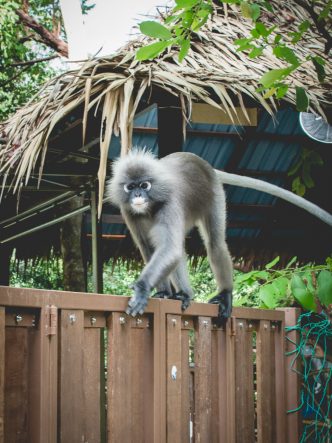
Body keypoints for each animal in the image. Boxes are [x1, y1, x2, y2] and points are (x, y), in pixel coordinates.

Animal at [107, 148, 332, 322]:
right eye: (131, 186)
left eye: (144, 185)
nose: (138, 195)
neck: (151, 207)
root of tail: (206, 165)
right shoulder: (128, 212)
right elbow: (149, 248)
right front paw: (162, 293)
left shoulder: (170, 203)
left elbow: (170, 249)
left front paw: (142, 288)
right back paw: (182, 294)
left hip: (214, 194)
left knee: (213, 244)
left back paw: (219, 295)